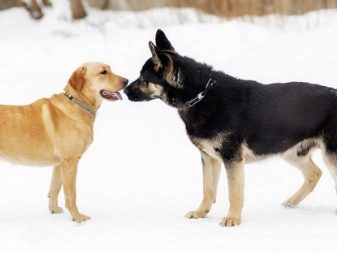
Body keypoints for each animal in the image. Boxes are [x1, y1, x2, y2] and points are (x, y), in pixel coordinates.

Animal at [124, 29, 336, 225]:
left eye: (143, 78)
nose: (124, 89)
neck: (200, 95)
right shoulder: (209, 158)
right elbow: (208, 189)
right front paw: (201, 213)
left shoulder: (232, 159)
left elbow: (234, 192)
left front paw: (232, 219)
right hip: (291, 152)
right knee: (314, 174)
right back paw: (291, 202)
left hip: (327, 156)